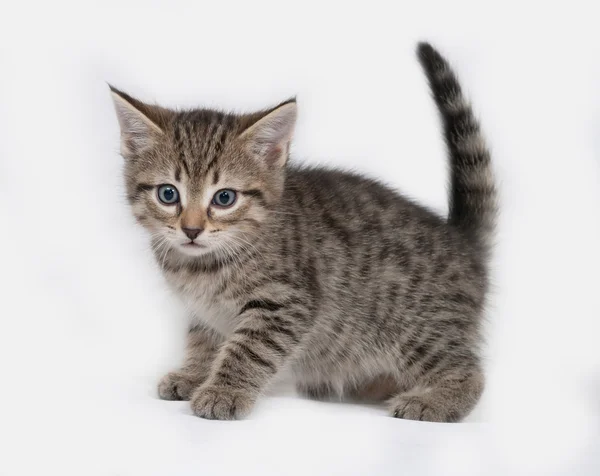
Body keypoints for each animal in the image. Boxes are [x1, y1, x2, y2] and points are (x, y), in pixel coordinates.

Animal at [109, 41, 496, 420]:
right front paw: (194, 375)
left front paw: (224, 391)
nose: (191, 229)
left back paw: (433, 401)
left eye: (224, 198)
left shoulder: (286, 303)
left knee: (470, 371)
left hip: (416, 327)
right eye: (168, 194)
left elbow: (250, 349)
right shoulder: (205, 312)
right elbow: (203, 340)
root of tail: (463, 242)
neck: (202, 267)